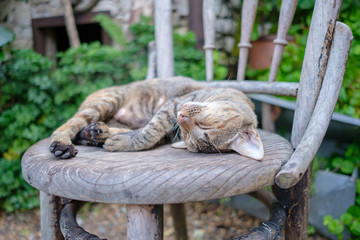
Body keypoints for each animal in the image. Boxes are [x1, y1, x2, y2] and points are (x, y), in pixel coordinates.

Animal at [49, 76, 264, 160]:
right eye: (205, 125)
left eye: (195, 133)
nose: (181, 117)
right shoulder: (173, 105)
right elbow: (150, 132)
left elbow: (148, 134)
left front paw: (116, 140)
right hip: (105, 102)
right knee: (69, 125)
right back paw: (63, 145)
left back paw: (95, 133)